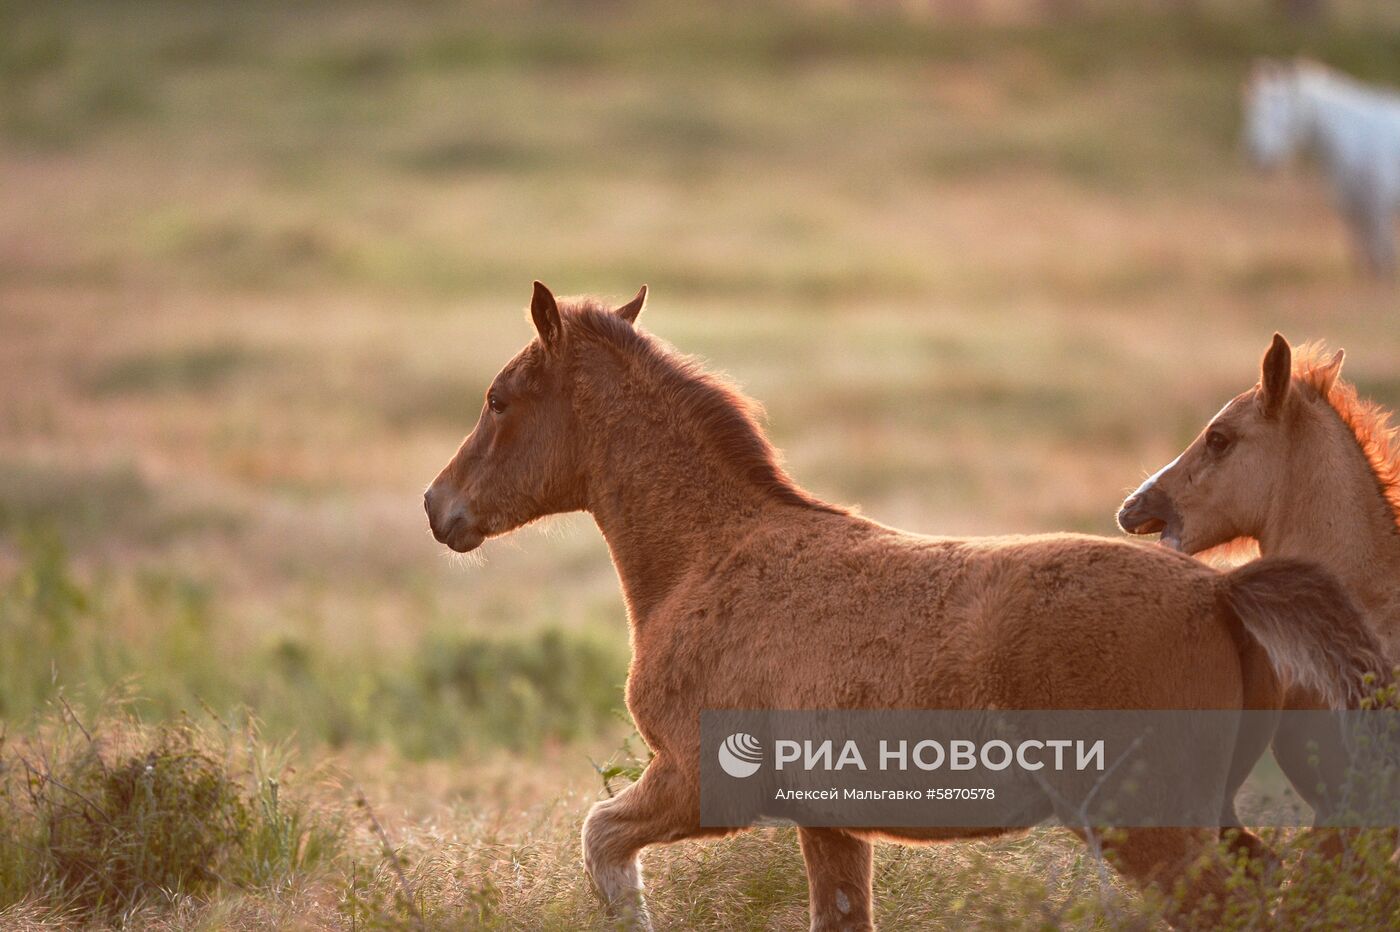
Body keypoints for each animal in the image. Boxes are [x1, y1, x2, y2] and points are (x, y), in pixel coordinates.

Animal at [422, 285, 1377, 929]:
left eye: (499, 400)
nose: (440, 507)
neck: (712, 556)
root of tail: (1221, 590)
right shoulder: (831, 823)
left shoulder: (697, 782)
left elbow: (601, 842)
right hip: (1203, 818)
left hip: (1151, 829)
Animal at [1254, 59, 1400, 272]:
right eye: (1254, 111)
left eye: (1277, 113)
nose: (1255, 157)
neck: (1356, 139)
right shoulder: (1351, 207)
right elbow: (1362, 253)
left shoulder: (1377, 207)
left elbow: (1382, 255)